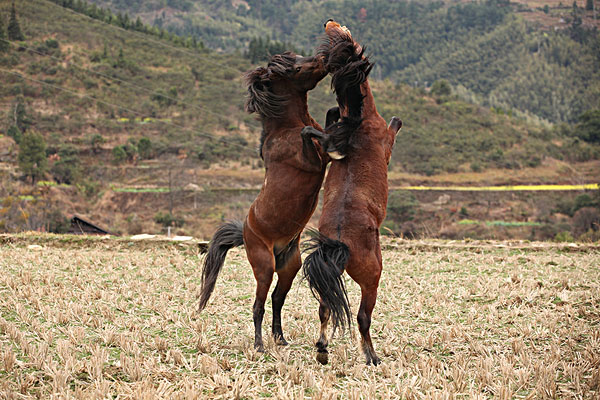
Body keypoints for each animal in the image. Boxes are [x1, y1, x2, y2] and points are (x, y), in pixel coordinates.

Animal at [197, 51, 328, 352]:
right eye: (297, 68)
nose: (323, 58)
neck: (285, 129)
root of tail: (246, 233)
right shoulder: (313, 162)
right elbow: (309, 133)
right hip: (264, 267)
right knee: (258, 305)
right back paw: (259, 345)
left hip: (290, 266)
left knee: (277, 299)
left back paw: (280, 338)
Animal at [300, 21, 404, 366]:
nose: (329, 22)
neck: (360, 122)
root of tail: (339, 243)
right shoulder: (387, 141)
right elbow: (394, 126)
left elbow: (328, 125)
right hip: (372, 276)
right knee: (361, 317)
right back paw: (371, 356)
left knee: (324, 308)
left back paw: (322, 349)